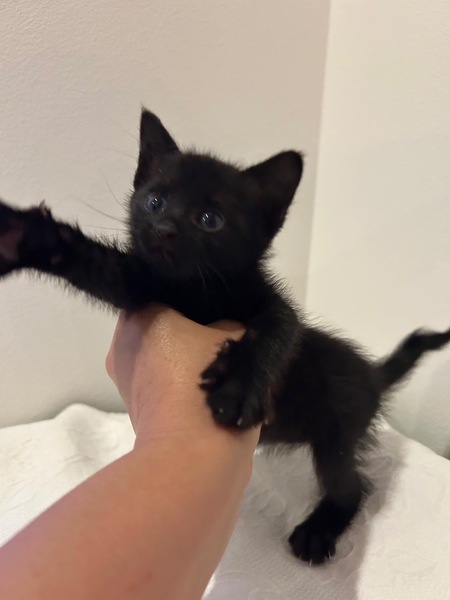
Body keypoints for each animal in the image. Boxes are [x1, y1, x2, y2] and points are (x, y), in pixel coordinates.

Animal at [0, 108, 449, 564]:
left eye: (210, 220)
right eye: (154, 201)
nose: (162, 227)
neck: (197, 291)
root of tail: (372, 375)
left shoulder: (271, 302)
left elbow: (279, 327)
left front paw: (238, 385)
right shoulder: (143, 284)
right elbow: (95, 264)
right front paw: (23, 237)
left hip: (338, 432)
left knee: (350, 487)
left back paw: (318, 531)